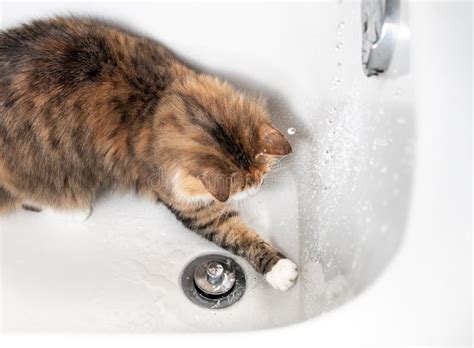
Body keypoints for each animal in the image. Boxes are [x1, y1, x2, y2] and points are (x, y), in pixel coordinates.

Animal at [0, 17, 296, 292]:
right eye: (242, 187)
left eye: (261, 176)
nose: (257, 189)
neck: (156, 103)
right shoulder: (190, 205)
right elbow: (236, 234)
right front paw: (280, 270)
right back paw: (74, 211)